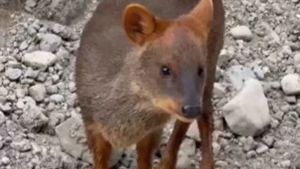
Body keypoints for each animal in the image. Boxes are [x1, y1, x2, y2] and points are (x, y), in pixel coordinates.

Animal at [76, 0, 224, 169]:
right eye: (165, 69)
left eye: (200, 69)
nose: (192, 109)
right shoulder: (90, 123)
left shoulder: (153, 131)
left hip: (212, 63)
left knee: (204, 116)